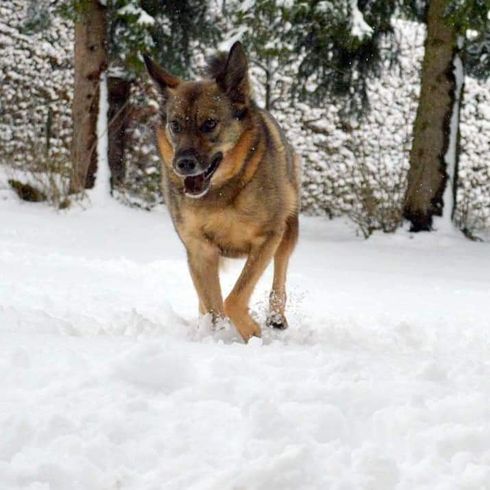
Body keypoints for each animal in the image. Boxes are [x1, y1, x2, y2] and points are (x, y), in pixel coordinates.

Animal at [144, 42, 300, 340]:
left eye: (209, 123)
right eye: (175, 125)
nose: (183, 163)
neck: (221, 193)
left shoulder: (267, 238)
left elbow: (234, 299)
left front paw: (251, 332)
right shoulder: (199, 250)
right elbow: (215, 307)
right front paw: (219, 335)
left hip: (289, 229)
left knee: (281, 272)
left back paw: (276, 317)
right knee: (206, 302)